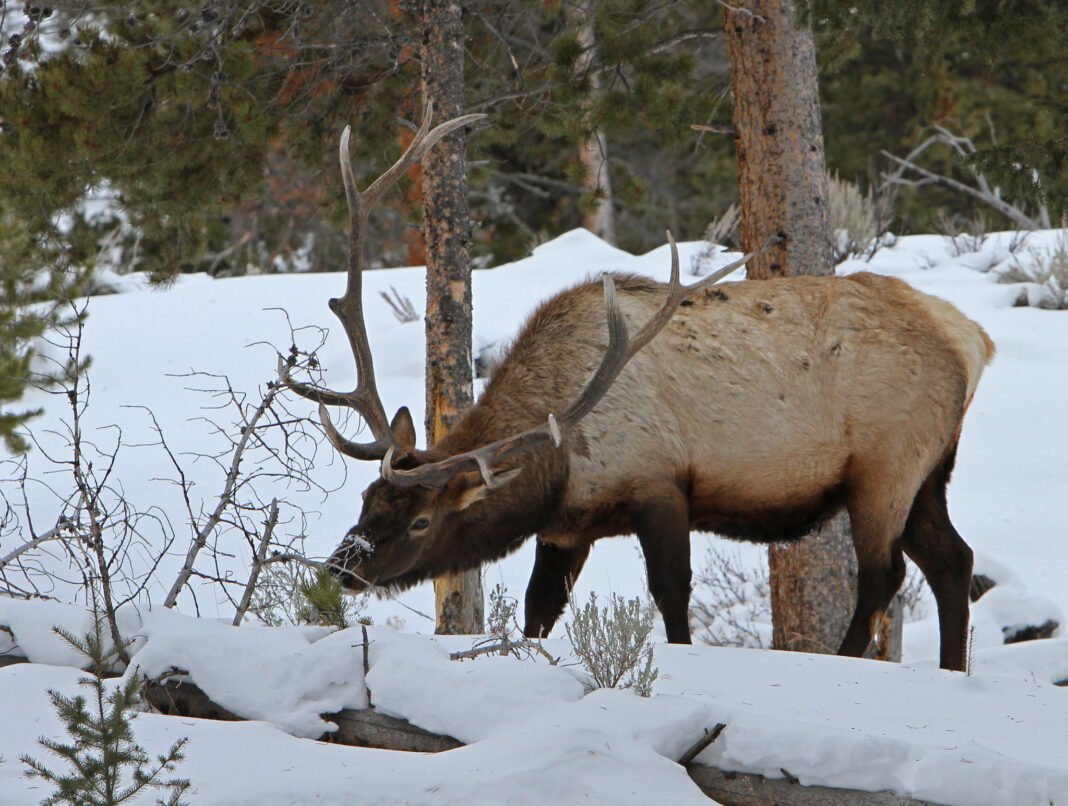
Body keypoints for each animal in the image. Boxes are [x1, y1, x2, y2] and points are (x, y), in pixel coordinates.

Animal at [290, 108, 991, 674]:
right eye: (367, 499)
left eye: (421, 520)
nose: (340, 568)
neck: (559, 459)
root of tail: (972, 340)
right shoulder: (569, 525)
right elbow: (538, 609)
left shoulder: (660, 484)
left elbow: (672, 599)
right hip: (929, 471)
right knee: (953, 561)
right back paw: (953, 672)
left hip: (885, 466)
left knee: (884, 575)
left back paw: (846, 662)